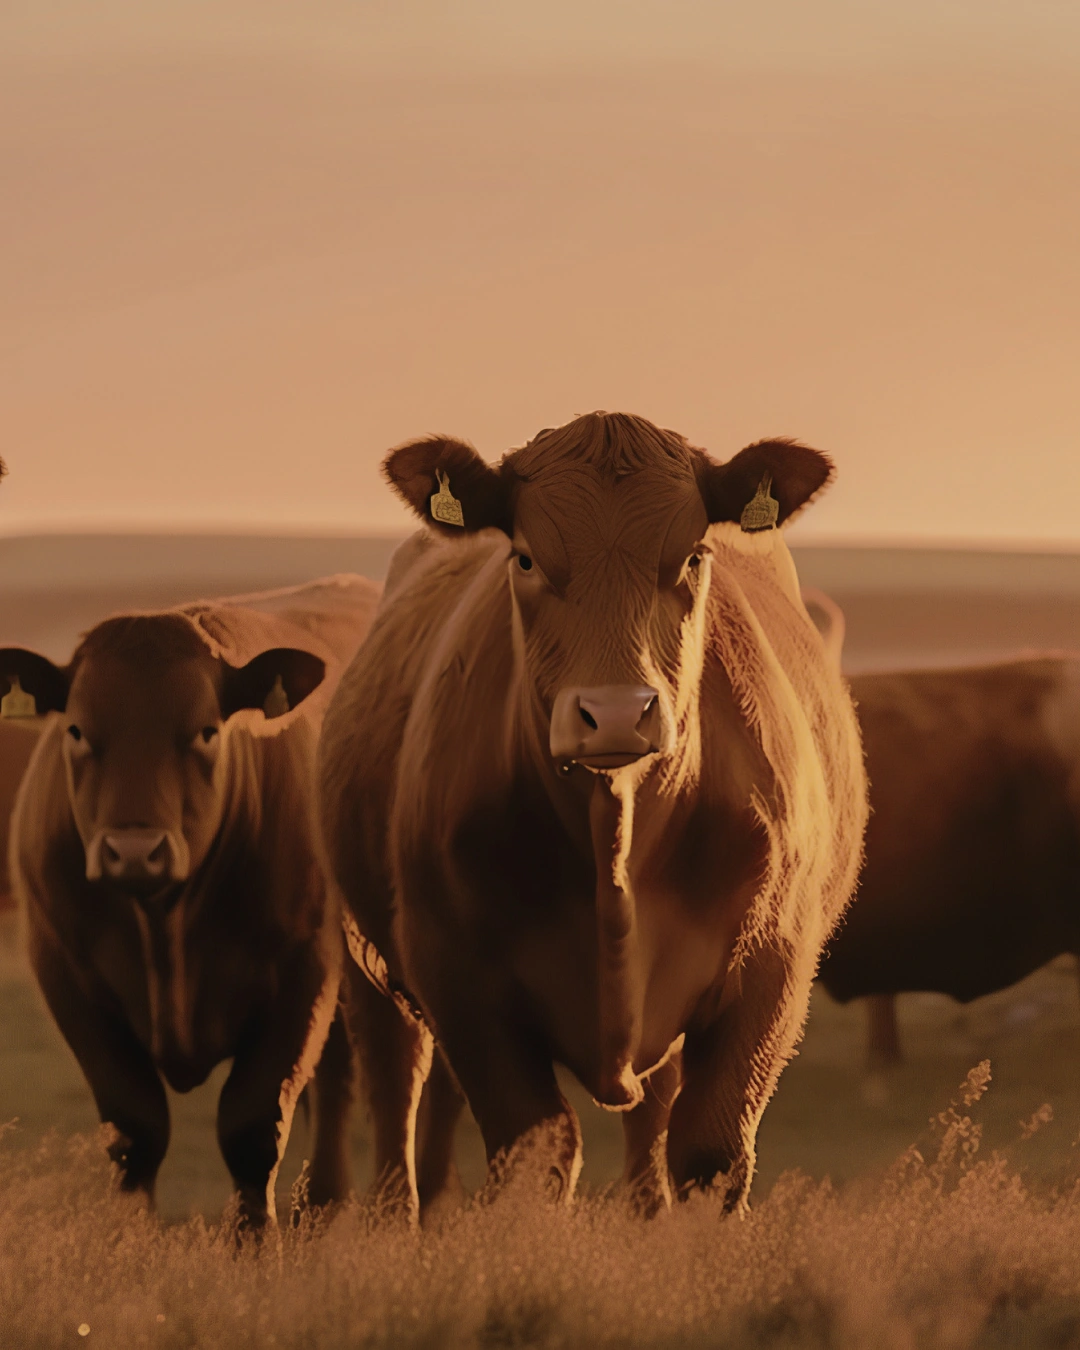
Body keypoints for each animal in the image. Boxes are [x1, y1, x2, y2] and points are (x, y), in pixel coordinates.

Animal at [3, 574, 379, 1230]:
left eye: (206, 731)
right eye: (76, 730)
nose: (133, 851)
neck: (165, 923)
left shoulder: (303, 970)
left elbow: (252, 1127)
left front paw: (254, 1243)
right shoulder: (63, 971)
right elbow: (135, 1131)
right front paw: (131, 1242)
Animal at [318, 411, 868, 1218]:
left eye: (693, 556)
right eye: (524, 558)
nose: (615, 714)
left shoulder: (772, 969)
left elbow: (710, 1153)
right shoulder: (458, 976)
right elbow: (535, 1151)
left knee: (650, 1115)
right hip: (369, 959)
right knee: (396, 1086)